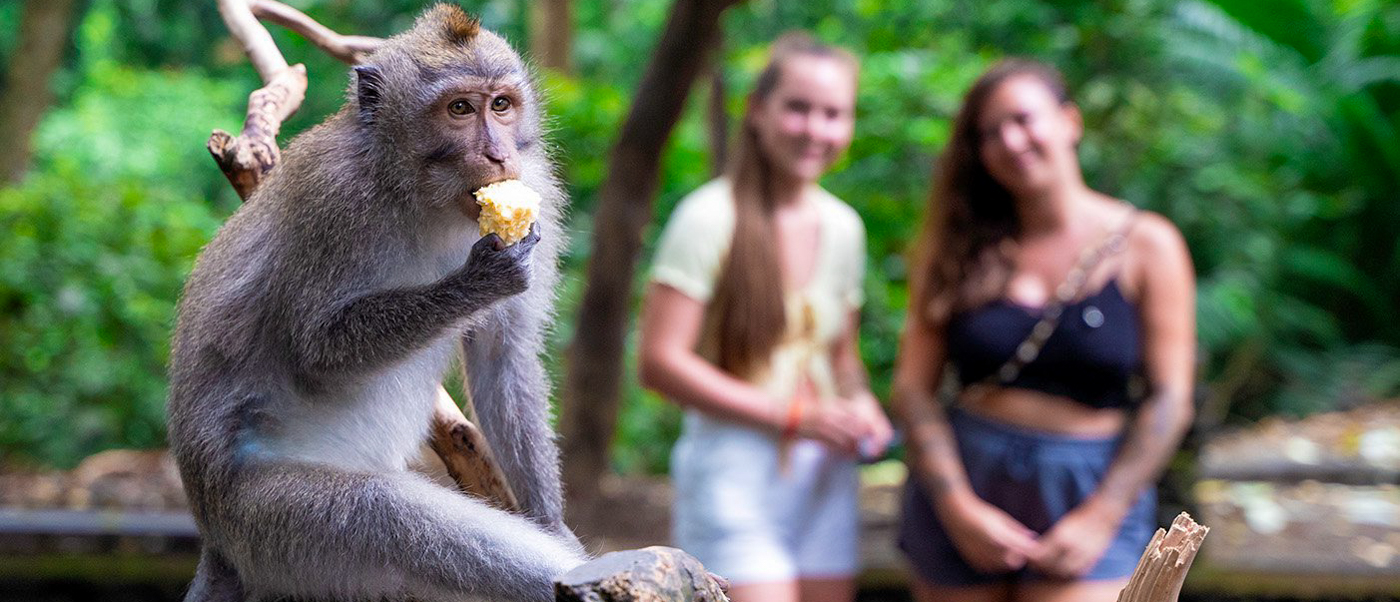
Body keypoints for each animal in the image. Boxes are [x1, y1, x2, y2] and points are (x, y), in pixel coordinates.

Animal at [166, 5, 586, 601]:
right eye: (460, 109)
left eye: (501, 105)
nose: (498, 153)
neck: (422, 194)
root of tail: (214, 539)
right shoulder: (334, 200)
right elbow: (315, 351)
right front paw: (479, 281)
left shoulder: (537, 189)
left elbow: (504, 355)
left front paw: (551, 520)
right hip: (265, 519)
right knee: (393, 519)